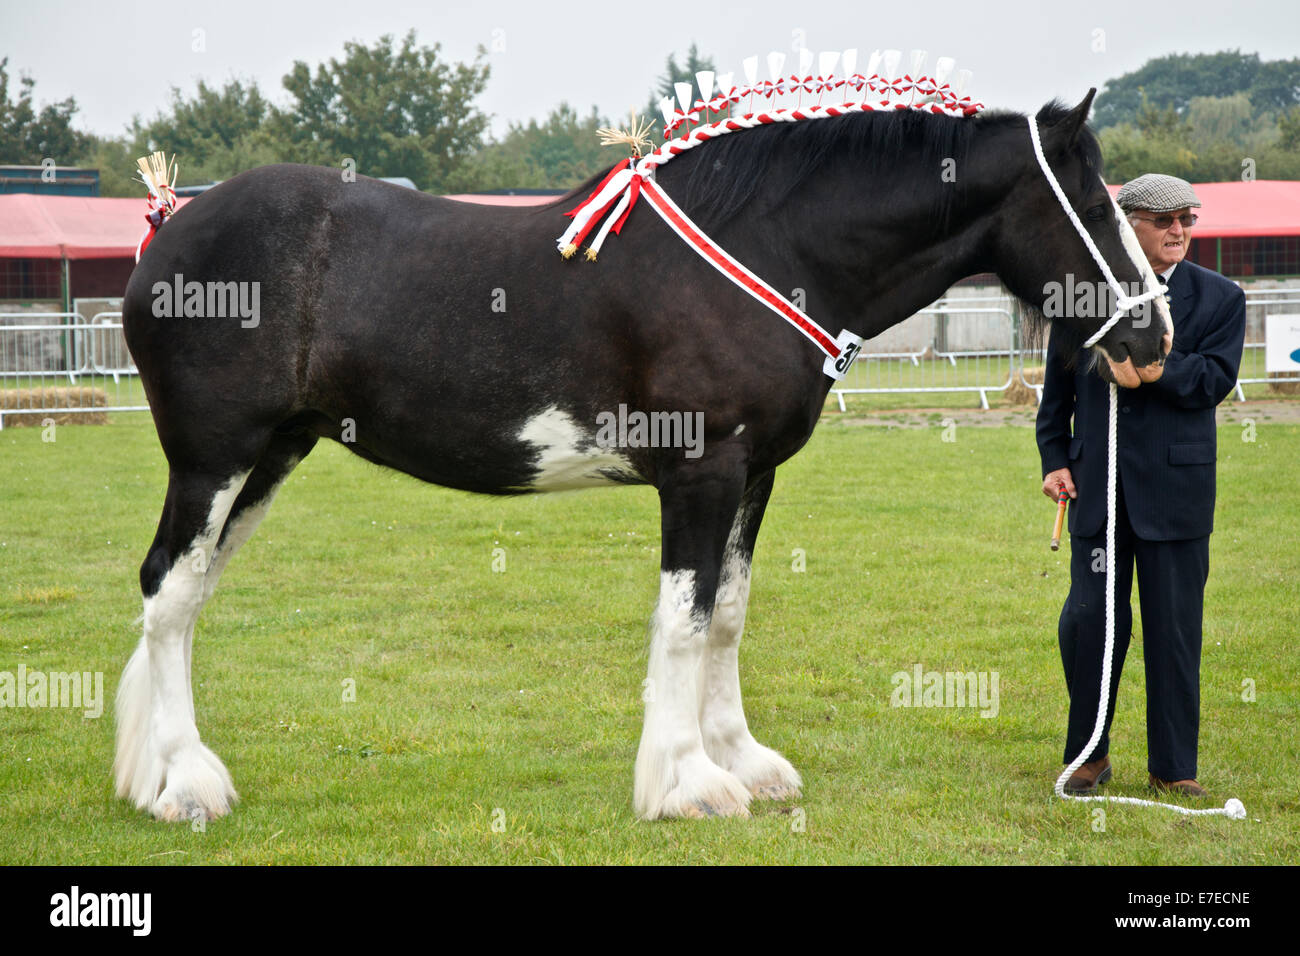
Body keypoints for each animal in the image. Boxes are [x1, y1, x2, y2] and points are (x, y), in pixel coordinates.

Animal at [115, 88, 1171, 822]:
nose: (1152, 336)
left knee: (186, 597)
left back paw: (154, 771)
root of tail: (170, 232)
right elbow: (685, 623)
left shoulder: (755, 475)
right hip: (212, 459)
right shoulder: (701, 472)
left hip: (272, 457)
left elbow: (729, 616)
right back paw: (184, 786)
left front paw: (744, 763)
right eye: (1093, 205)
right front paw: (688, 785)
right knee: (168, 589)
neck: (771, 247)